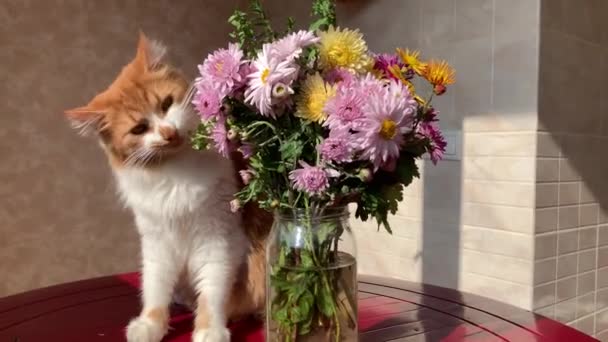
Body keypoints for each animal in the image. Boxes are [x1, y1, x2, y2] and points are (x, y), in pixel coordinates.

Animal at [65, 32, 270, 342]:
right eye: (139, 129)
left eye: (166, 104)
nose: (168, 133)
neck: (174, 174)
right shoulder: (157, 242)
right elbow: (155, 289)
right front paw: (150, 326)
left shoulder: (218, 241)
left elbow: (212, 293)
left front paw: (209, 329)